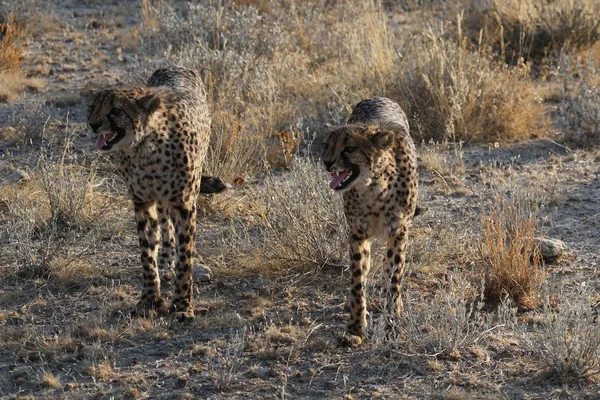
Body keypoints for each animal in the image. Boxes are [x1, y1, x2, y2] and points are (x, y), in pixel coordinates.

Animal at [86, 66, 218, 322]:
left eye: (116, 110)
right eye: (92, 107)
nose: (93, 125)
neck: (146, 146)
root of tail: (175, 66)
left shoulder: (184, 203)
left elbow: (185, 256)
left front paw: (182, 305)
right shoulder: (142, 202)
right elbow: (147, 254)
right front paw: (149, 300)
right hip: (161, 200)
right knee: (165, 224)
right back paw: (165, 260)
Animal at [324, 97, 418, 344]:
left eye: (349, 148)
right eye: (327, 146)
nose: (326, 162)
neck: (374, 186)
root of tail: (378, 97)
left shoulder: (398, 232)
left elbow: (393, 278)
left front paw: (392, 325)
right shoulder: (357, 233)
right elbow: (358, 279)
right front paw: (355, 328)